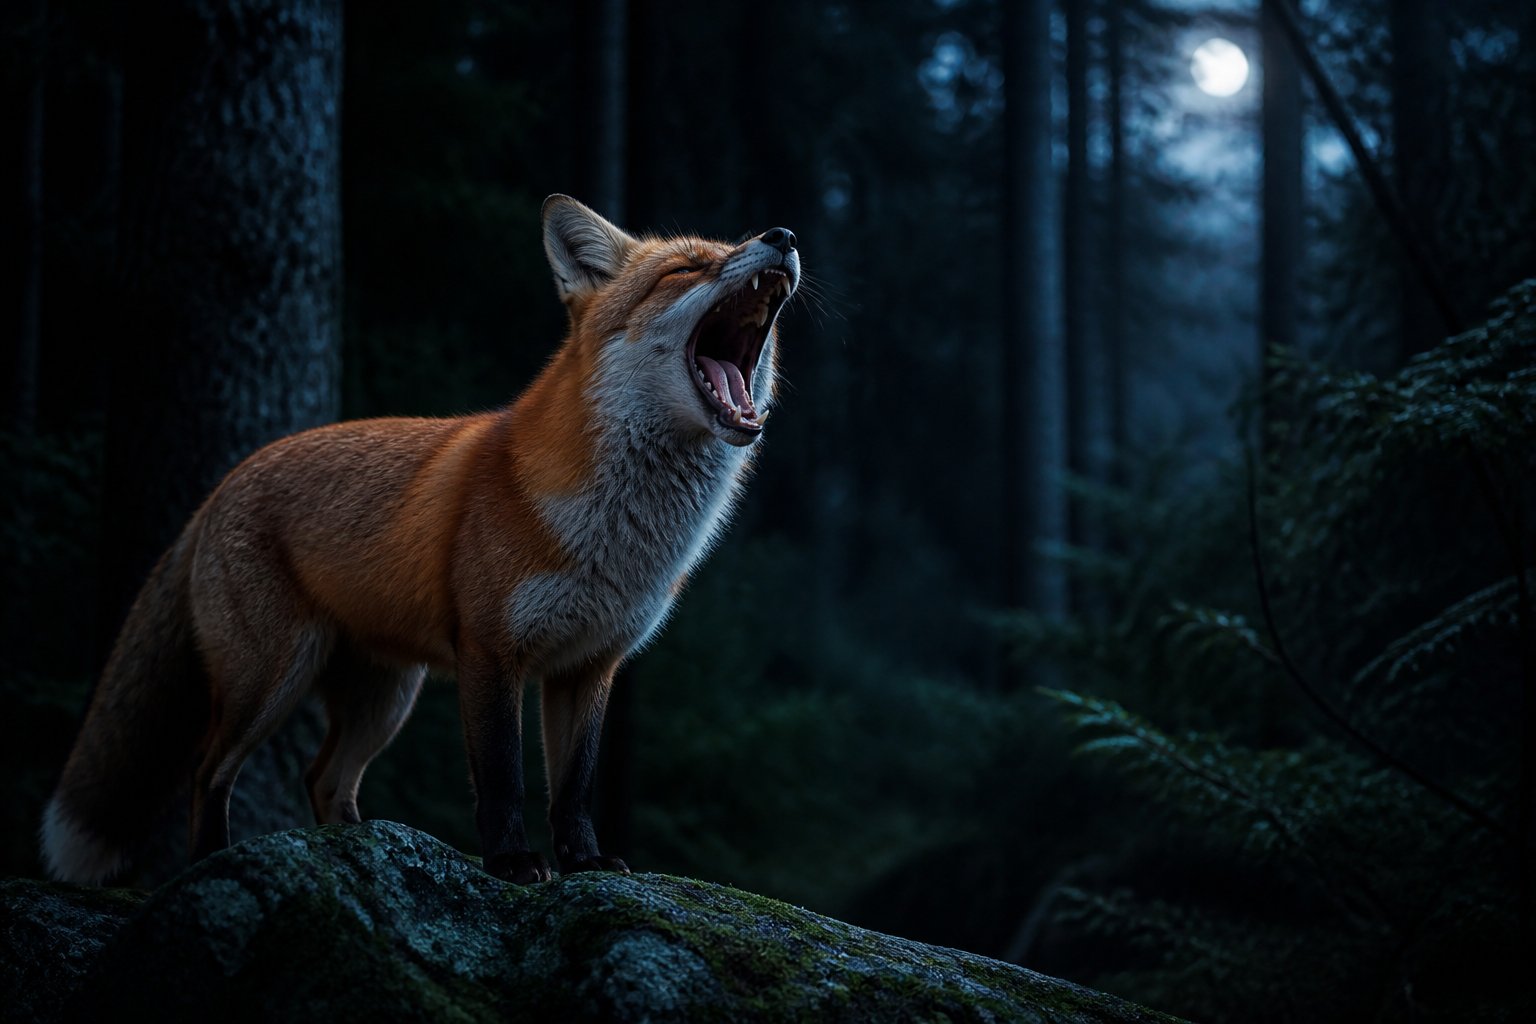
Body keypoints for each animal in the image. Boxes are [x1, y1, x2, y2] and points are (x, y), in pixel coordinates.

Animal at [41, 195, 800, 886]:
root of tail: (225, 481)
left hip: (383, 698)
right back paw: (212, 864)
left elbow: (574, 789)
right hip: (272, 677)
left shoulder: (590, 664)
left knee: (323, 777)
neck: (619, 540)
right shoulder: (491, 650)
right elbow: (502, 779)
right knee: (208, 771)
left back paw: (357, 850)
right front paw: (511, 863)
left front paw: (583, 862)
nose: (785, 235)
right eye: (687, 267)